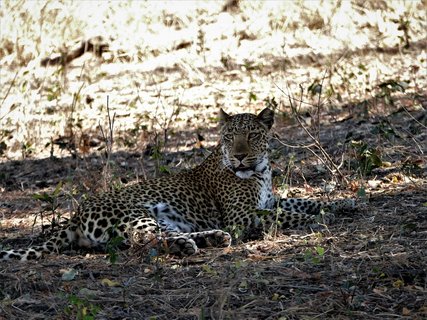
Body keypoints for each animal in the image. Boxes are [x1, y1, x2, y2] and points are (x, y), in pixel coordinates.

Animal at [0, 107, 354, 260]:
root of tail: (74, 216)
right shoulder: (242, 217)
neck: (261, 170)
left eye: (252, 135)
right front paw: (319, 218)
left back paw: (212, 238)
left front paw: (343, 203)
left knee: (161, 235)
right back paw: (189, 246)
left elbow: (302, 202)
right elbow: (289, 215)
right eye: (230, 137)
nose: (240, 157)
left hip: (165, 218)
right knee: (146, 240)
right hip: (135, 214)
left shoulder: (268, 201)